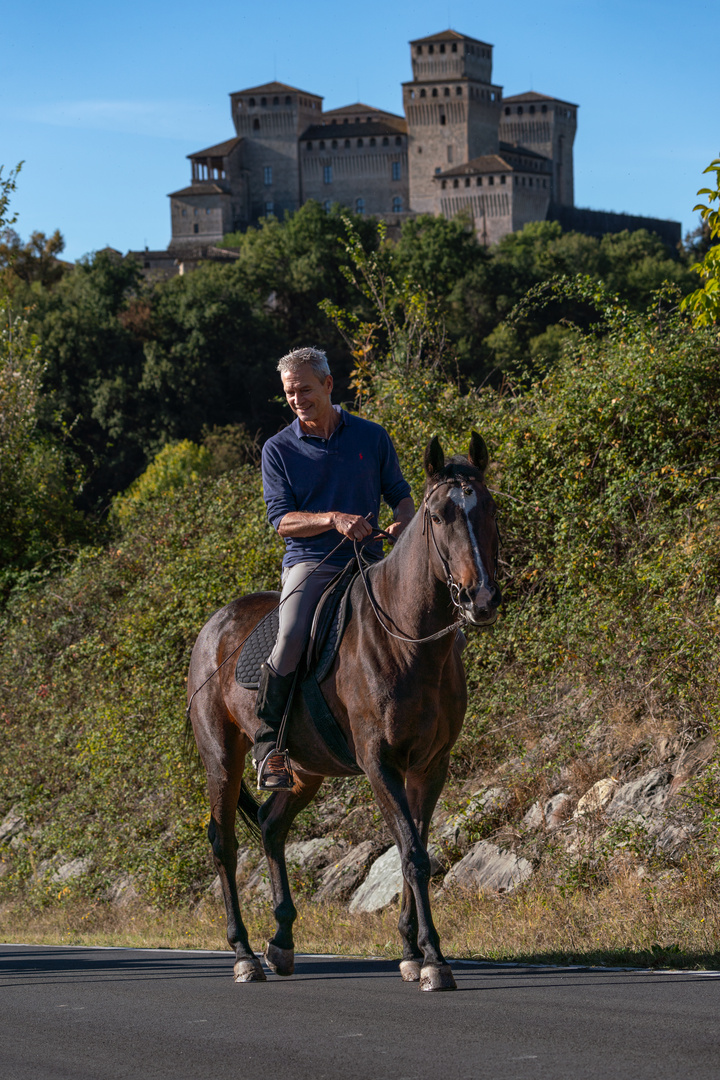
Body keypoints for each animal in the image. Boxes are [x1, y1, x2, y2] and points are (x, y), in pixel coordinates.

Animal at [187, 429, 500, 989]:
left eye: (486, 507)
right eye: (439, 515)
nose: (480, 599)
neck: (407, 640)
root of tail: (213, 626)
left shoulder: (430, 765)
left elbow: (414, 850)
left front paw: (412, 952)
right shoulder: (380, 763)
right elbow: (413, 855)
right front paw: (434, 961)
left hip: (304, 771)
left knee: (271, 826)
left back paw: (281, 942)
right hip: (221, 759)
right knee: (223, 841)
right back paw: (244, 954)